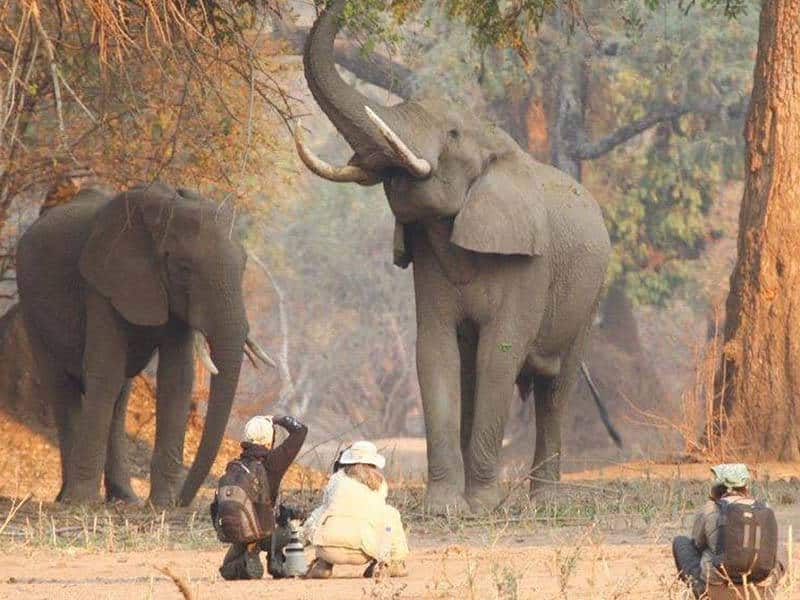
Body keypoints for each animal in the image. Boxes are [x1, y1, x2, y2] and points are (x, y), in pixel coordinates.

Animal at [14, 180, 272, 504]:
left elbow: (177, 378)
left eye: (244, 266)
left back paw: (124, 498)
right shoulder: (102, 282)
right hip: (31, 308)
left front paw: (161, 504)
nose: (184, 501)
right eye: (184, 269)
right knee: (63, 388)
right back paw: (67, 497)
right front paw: (82, 502)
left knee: (119, 397)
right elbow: (105, 372)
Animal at [296, 1, 616, 516]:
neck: (495, 145)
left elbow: (498, 354)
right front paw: (444, 509)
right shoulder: (427, 255)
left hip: (590, 295)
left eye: (451, 134)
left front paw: (482, 508)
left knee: (555, 390)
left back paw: (545, 503)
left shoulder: (531, 262)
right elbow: (436, 352)